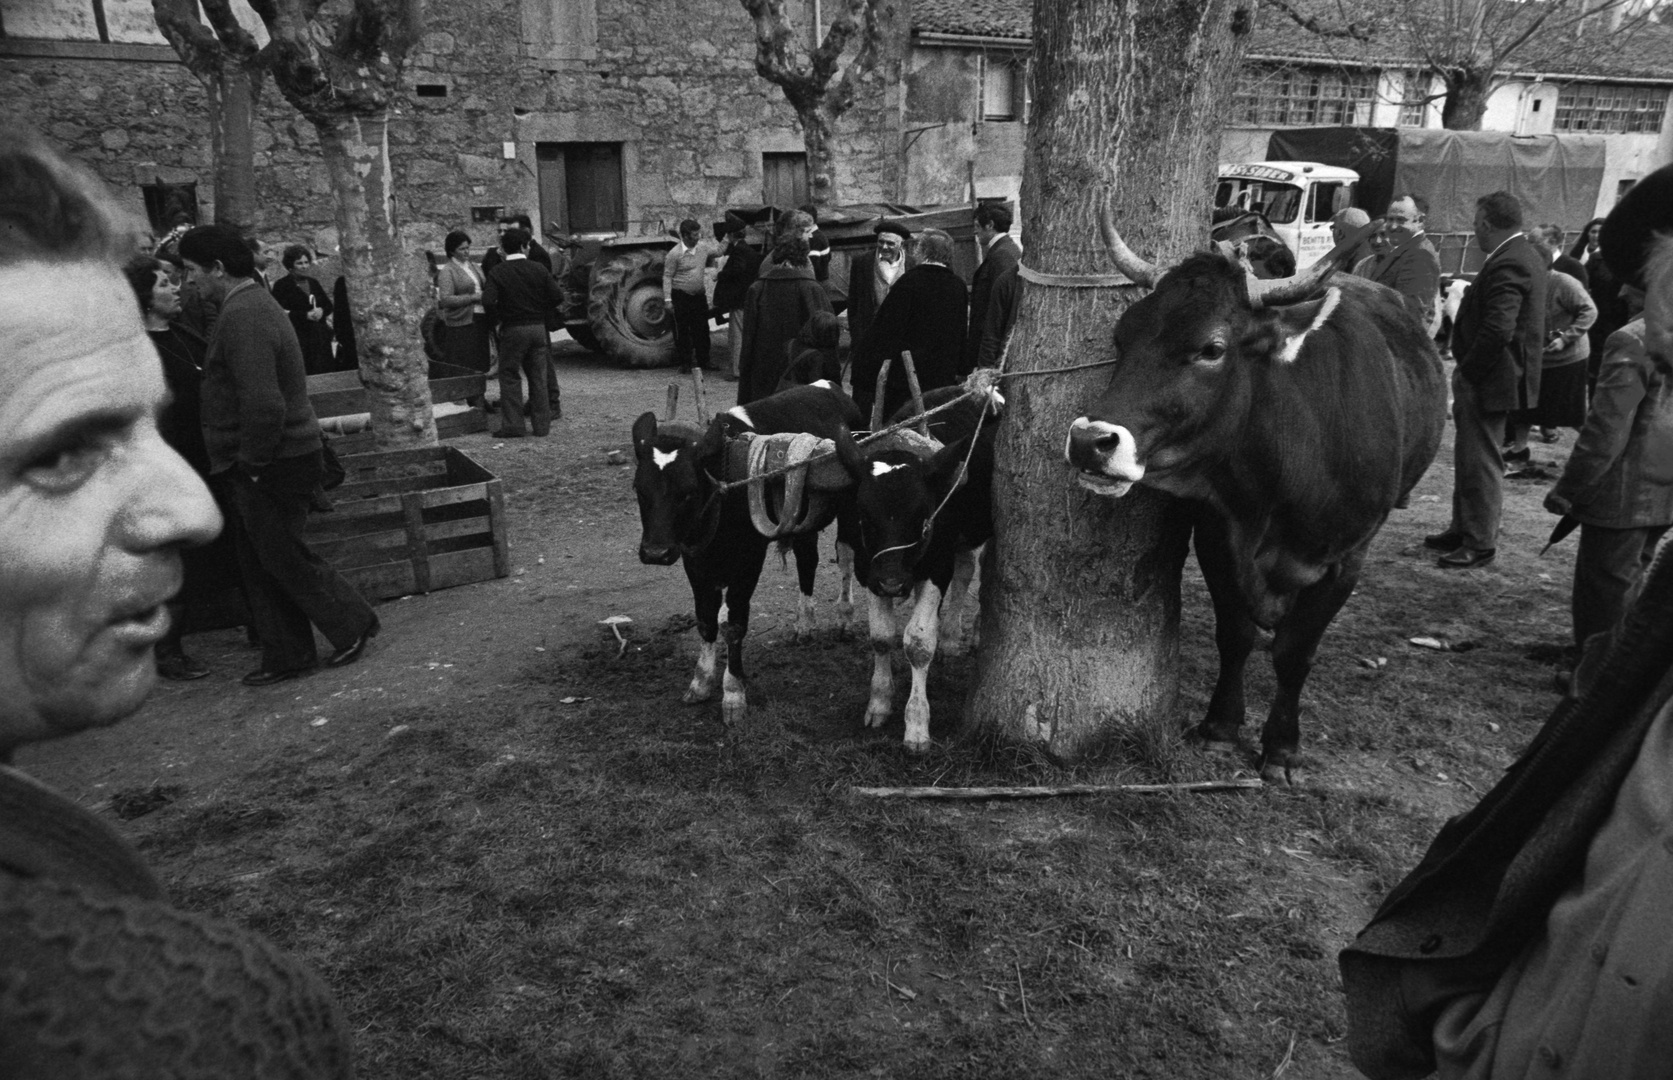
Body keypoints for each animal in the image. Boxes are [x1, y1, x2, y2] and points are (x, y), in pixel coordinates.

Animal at [1070, 215, 1452, 782]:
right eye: (1122, 338)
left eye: (1211, 349)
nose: (1088, 441)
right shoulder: (1217, 536)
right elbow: (1236, 634)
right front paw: (1220, 726)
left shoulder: (1346, 559)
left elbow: (1296, 654)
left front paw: (1282, 746)